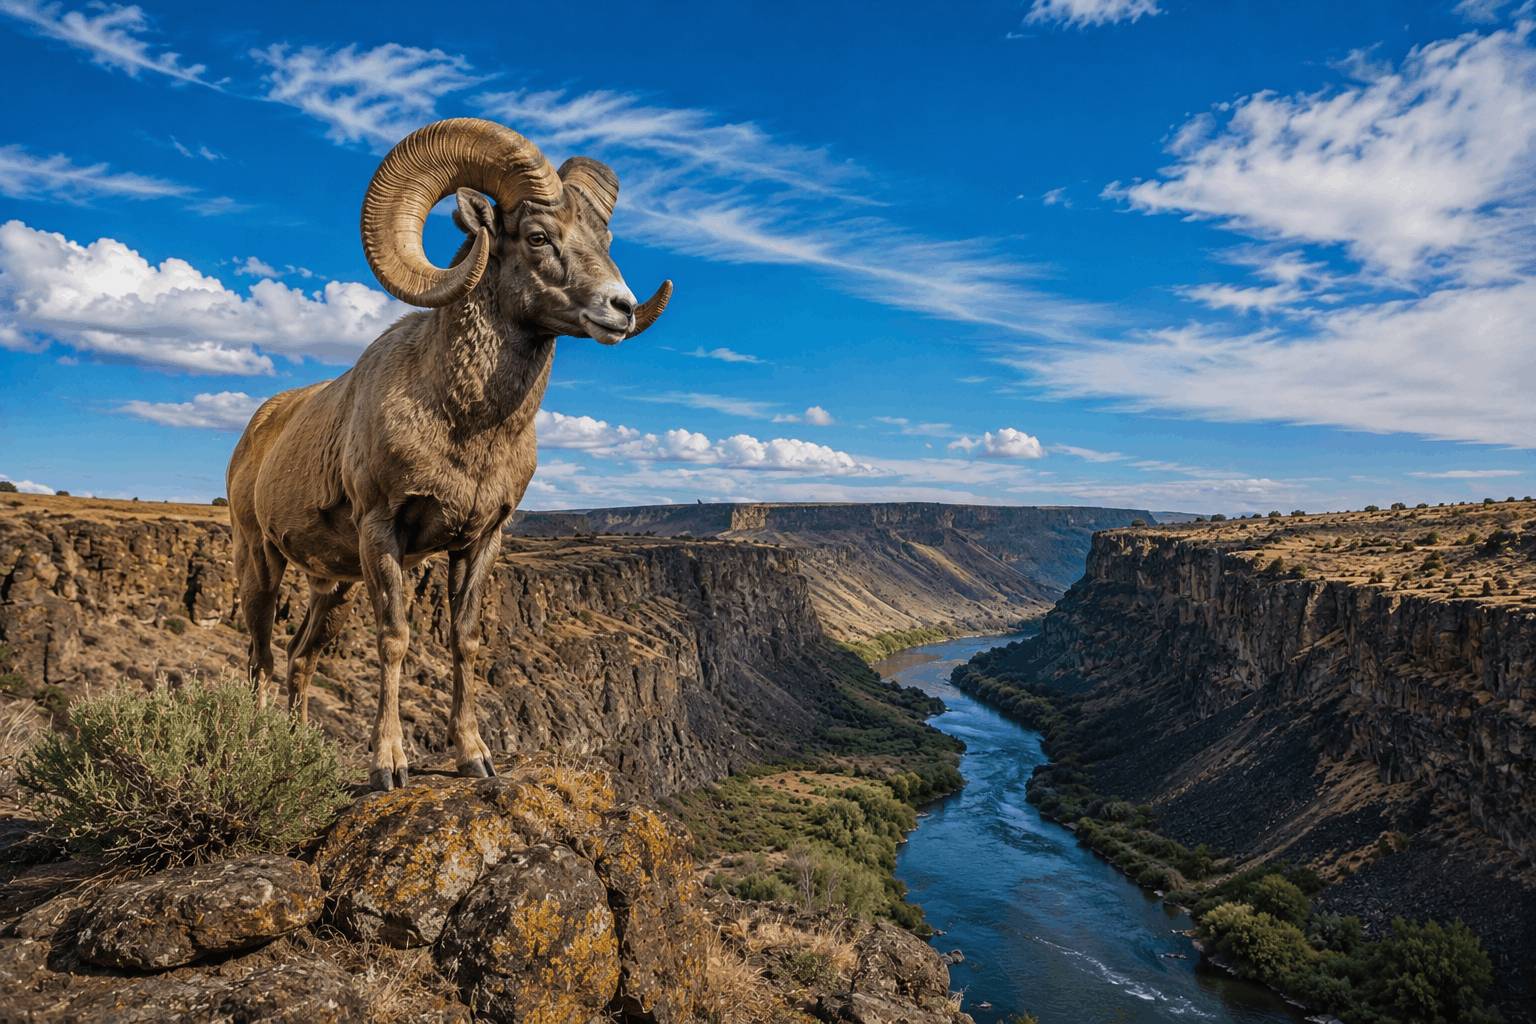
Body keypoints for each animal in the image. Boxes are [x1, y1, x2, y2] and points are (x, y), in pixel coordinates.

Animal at [226, 118, 671, 791]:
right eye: (538, 236)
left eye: (605, 238)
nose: (619, 309)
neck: (466, 428)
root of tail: (257, 428)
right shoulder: (381, 532)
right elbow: (395, 639)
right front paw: (389, 766)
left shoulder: (481, 540)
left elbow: (464, 641)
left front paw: (474, 757)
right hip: (260, 561)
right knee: (261, 657)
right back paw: (259, 746)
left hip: (332, 587)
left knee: (301, 659)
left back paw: (298, 748)